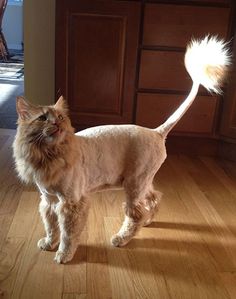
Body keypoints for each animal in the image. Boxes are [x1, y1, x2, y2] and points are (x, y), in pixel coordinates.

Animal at [12, 36, 230, 264]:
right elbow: (51, 227)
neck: (49, 154)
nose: (57, 124)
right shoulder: (48, 201)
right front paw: (48, 243)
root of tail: (157, 132)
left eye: (61, 117)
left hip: (134, 184)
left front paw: (64, 254)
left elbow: (67, 234)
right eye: (42, 118)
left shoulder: (71, 204)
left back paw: (121, 238)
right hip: (142, 182)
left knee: (135, 215)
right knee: (153, 199)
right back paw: (148, 221)